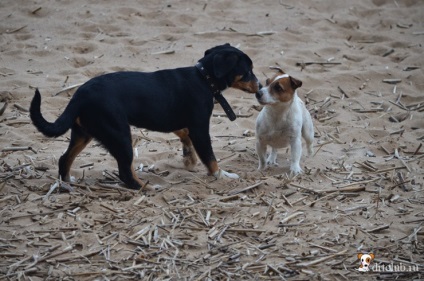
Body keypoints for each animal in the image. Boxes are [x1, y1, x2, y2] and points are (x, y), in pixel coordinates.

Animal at [29, 43, 260, 188]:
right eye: (248, 71)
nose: (259, 86)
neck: (204, 78)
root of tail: (80, 94)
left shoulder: (172, 120)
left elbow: (183, 134)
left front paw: (189, 158)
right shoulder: (200, 128)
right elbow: (210, 158)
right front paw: (222, 175)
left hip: (83, 133)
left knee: (64, 159)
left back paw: (68, 183)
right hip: (119, 135)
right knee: (125, 172)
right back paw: (147, 188)